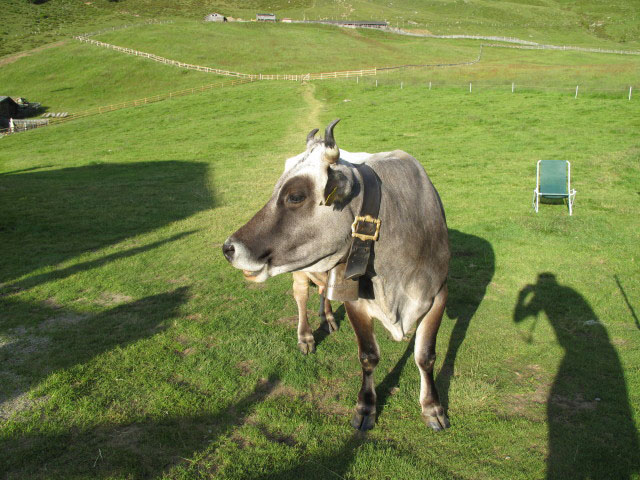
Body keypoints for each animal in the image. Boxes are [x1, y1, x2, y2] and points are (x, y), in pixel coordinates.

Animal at [225, 121, 450, 432]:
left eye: (295, 196)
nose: (229, 248)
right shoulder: (356, 302)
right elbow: (368, 356)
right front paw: (366, 407)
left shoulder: (438, 293)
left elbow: (426, 356)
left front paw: (432, 408)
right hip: (300, 272)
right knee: (301, 297)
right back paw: (306, 336)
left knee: (323, 292)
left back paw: (328, 318)